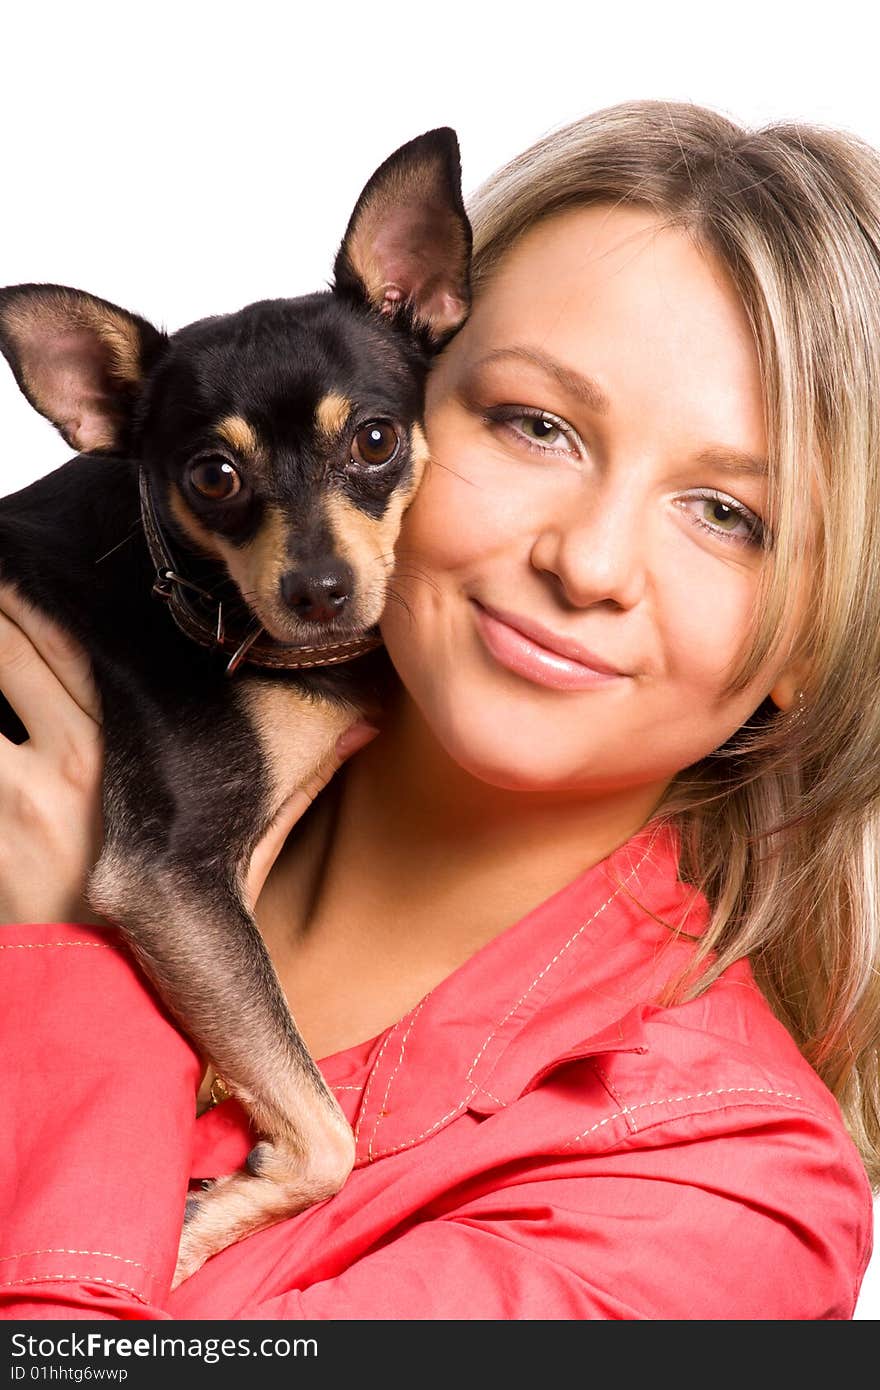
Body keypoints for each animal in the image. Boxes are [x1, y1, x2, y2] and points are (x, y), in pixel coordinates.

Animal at [0, 127, 472, 1278]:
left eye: (377, 440)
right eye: (213, 475)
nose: (319, 590)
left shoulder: (211, 887)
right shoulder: (164, 877)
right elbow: (328, 1135)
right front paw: (194, 1230)